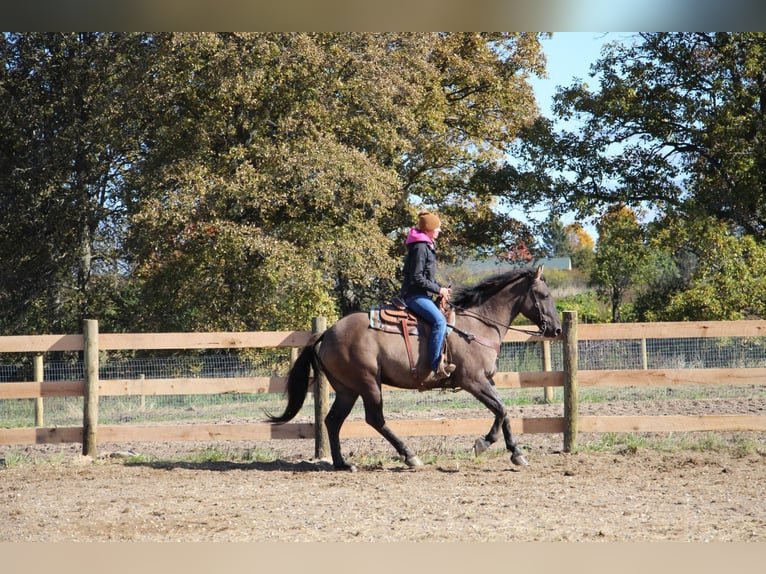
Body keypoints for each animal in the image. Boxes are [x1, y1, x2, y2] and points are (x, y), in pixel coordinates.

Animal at [268, 266, 564, 472]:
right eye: (544, 295)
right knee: (374, 419)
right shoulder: (472, 381)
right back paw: (409, 456)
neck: (479, 324)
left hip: (346, 389)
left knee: (333, 421)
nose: (557, 329)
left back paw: (343, 463)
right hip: (368, 383)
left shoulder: (486, 381)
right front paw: (489, 445)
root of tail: (327, 332)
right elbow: (501, 410)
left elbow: (504, 412)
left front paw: (513, 451)